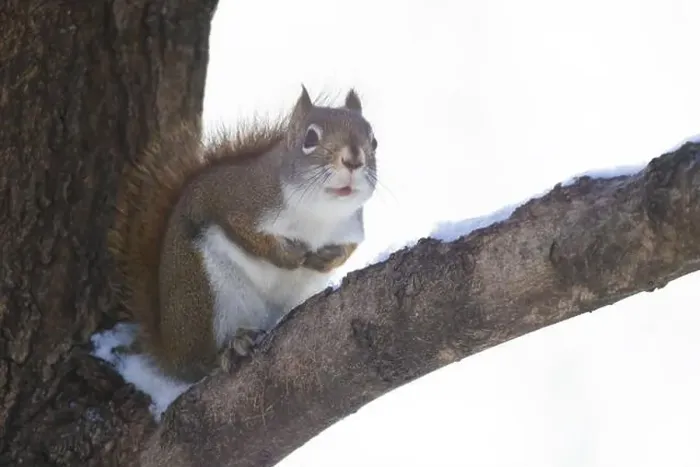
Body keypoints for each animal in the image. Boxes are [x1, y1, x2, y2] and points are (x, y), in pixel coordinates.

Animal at [109, 86, 378, 383]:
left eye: (374, 141)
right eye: (310, 138)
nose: (353, 160)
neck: (318, 216)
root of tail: (170, 350)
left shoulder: (352, 228)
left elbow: (348, 249)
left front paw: (328, 258)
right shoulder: (239, 202)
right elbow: (247, 234)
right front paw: (288, 256)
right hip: (203, 294)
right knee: (197, 363)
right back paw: (228, 350)